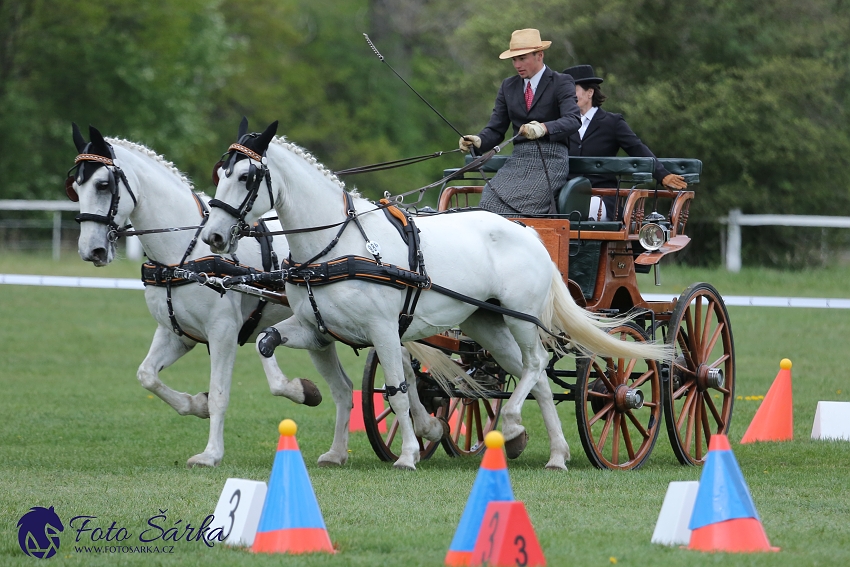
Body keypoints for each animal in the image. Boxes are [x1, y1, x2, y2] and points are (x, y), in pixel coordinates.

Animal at [67, 126, 344, 468]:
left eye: (103, 184)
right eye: (75, 187)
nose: (91, 250)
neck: (185, 252)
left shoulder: (223, 332)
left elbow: (221, 394)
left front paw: (211, 453)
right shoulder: (177, 332)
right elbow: (147, 376)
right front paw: (196, 404)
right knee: (342, 387)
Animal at [199, 122, 668, 472]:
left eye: (246, 176)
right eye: (219, 173)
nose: (214, 237)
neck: (337, 246)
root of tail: (528, 232)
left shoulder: (384, 330)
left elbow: (398, 389)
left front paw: (408, 454)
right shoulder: (315, 328)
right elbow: (268, 344)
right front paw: (311, 407)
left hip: (523, 317)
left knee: (536, 366)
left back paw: (516, 424)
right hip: (487, 322)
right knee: (534, 380)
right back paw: (550, 451)